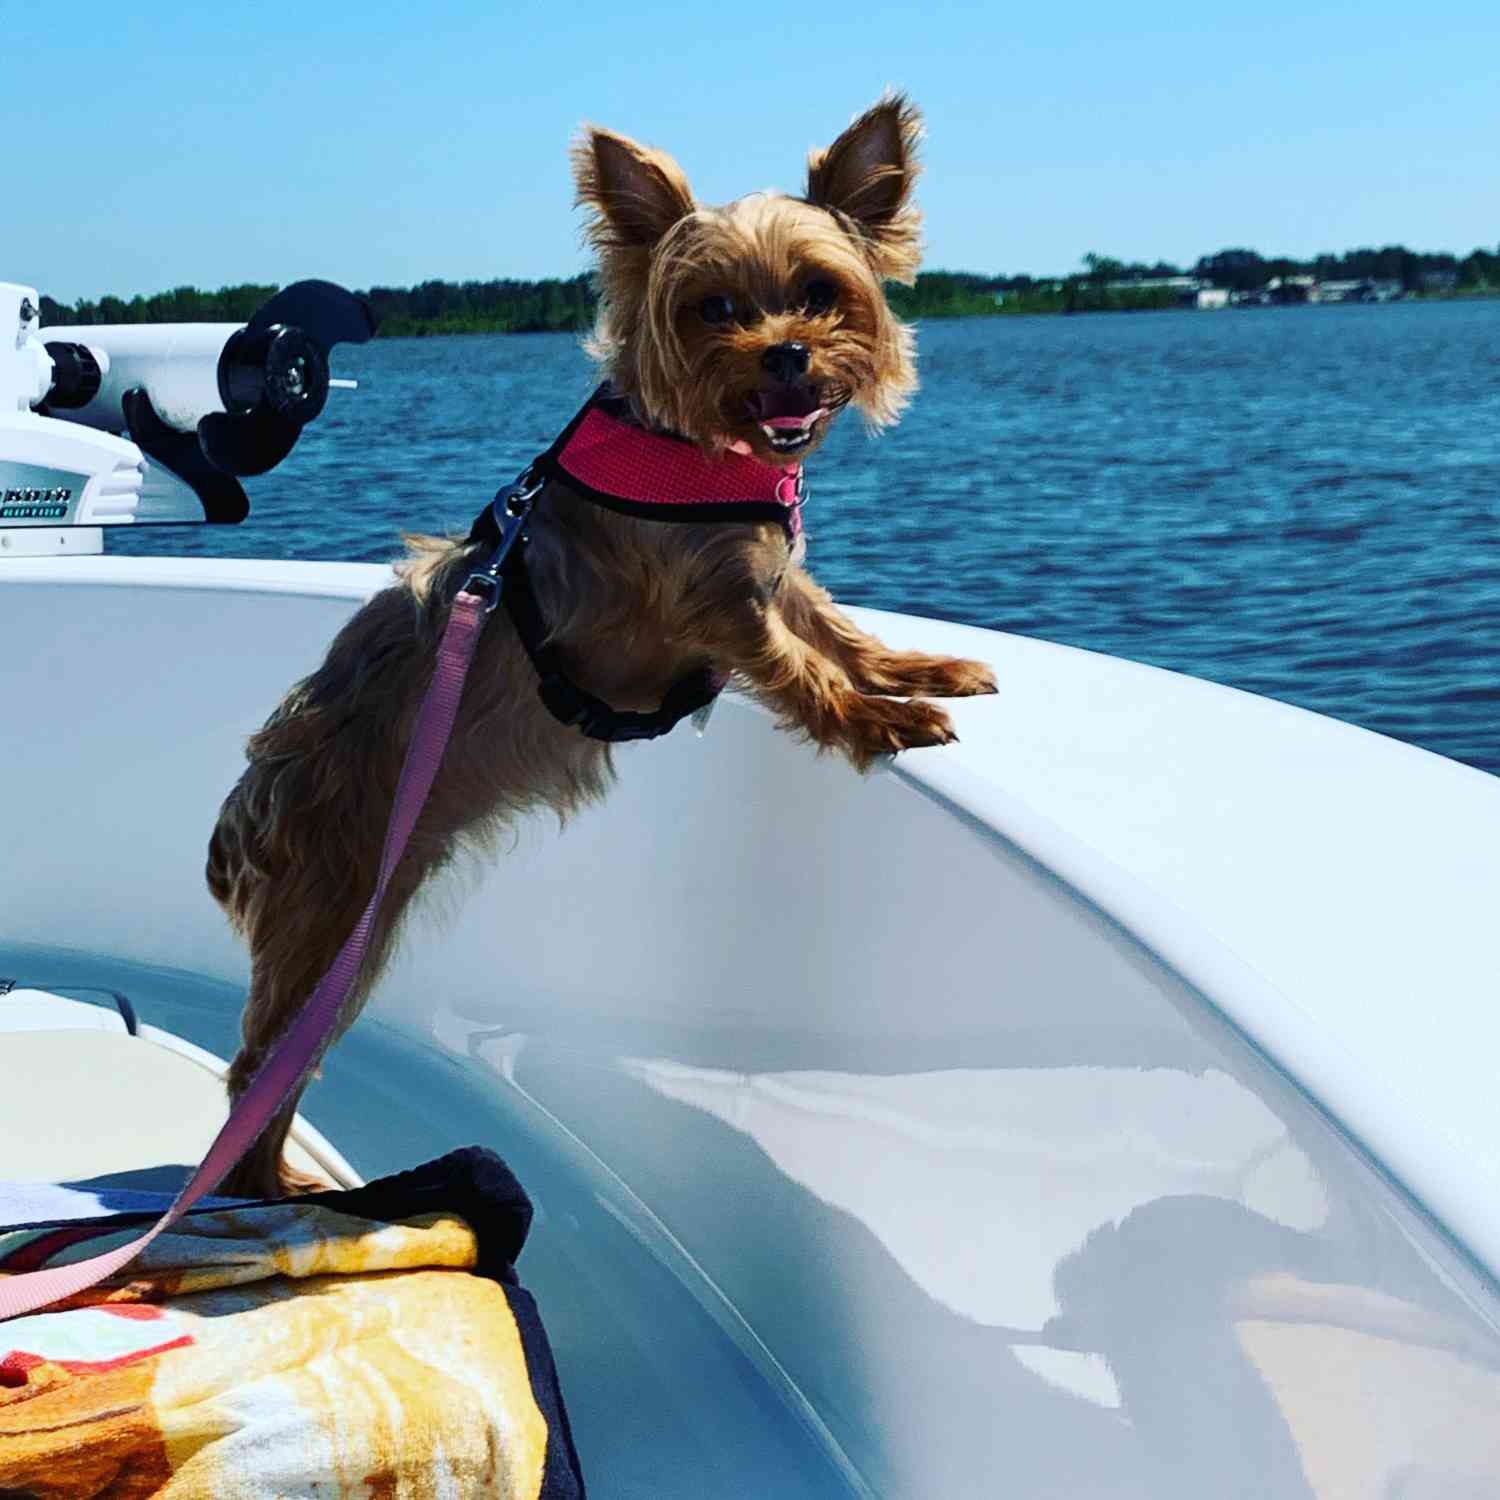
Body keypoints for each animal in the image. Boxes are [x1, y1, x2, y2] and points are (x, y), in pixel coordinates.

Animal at [202, 93, 996, 1194]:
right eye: (713, 309)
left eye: (819, 292)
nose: (786, 352)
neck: (699, 452)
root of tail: (242, 814)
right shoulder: (717, 602)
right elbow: (801, 672)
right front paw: (880, 721)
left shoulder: (767, 571)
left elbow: (829, 625)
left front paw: (918, 671)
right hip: (332, 920)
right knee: (258, 1077)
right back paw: (270, 1194)